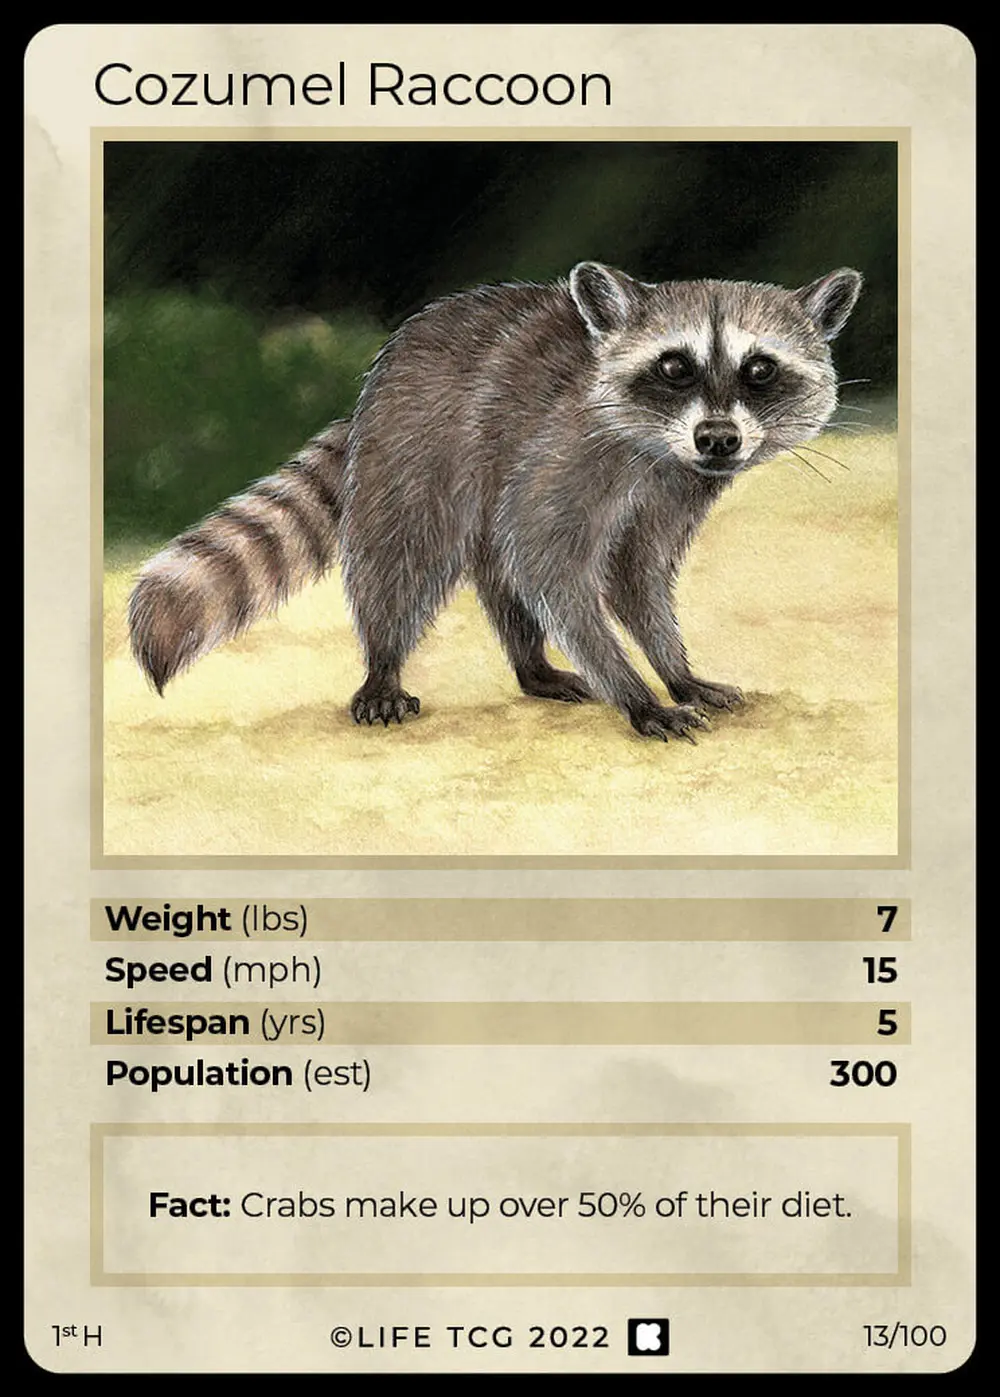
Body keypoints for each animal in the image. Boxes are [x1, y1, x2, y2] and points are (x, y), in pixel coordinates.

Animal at [128, 262, 862, 740]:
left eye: (760, 368)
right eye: (675, 366)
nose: (718, 439)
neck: (658, 448)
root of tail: (390, 361)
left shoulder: (675, 486)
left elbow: (635, 576)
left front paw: (674, 669)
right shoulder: (568, 449)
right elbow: (550, 563)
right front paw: (633, 692)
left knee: (497, 564)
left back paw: (532, 666)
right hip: (419, 443)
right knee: (404, 556)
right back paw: (384, 662)